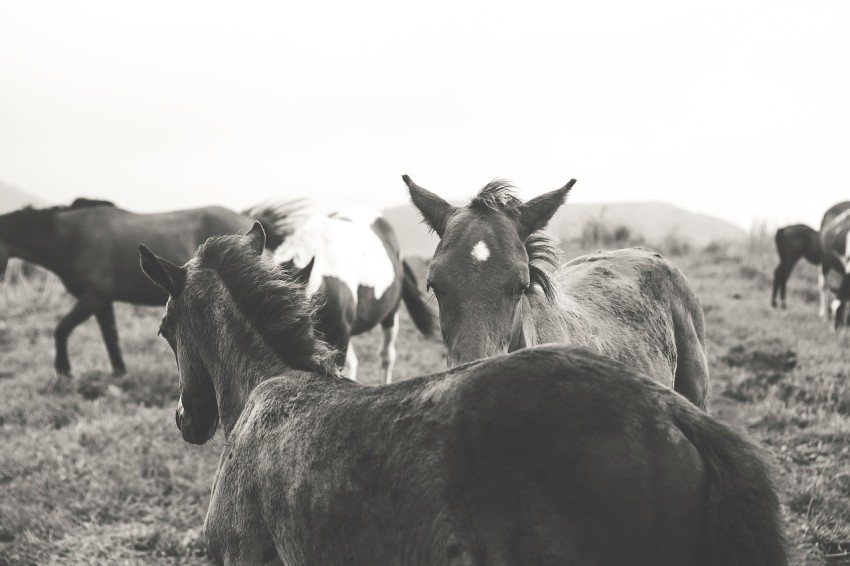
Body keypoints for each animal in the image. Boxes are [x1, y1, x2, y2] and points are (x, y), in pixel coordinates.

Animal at [0, 198, 299, 376]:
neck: (71, 238)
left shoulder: (92, 297)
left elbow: (61, 329)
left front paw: (63, 371)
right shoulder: (102, 301)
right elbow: (110, 337)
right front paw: (119, 372)